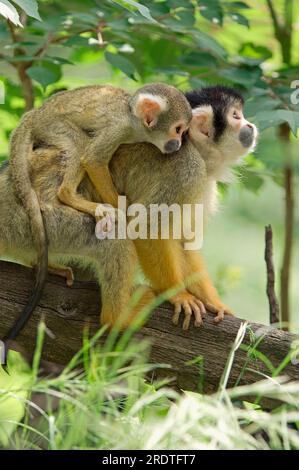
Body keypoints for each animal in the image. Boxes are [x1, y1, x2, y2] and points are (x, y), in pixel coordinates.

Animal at [8, 82, 192, 342]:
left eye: (183, 132)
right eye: (177, 129)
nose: (177, 144)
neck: (133, 120)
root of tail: (34, 114)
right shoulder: (118, 128)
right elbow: (93, 160)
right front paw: (121, 209)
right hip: (52, 127)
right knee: (79, 145)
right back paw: (70, 196)